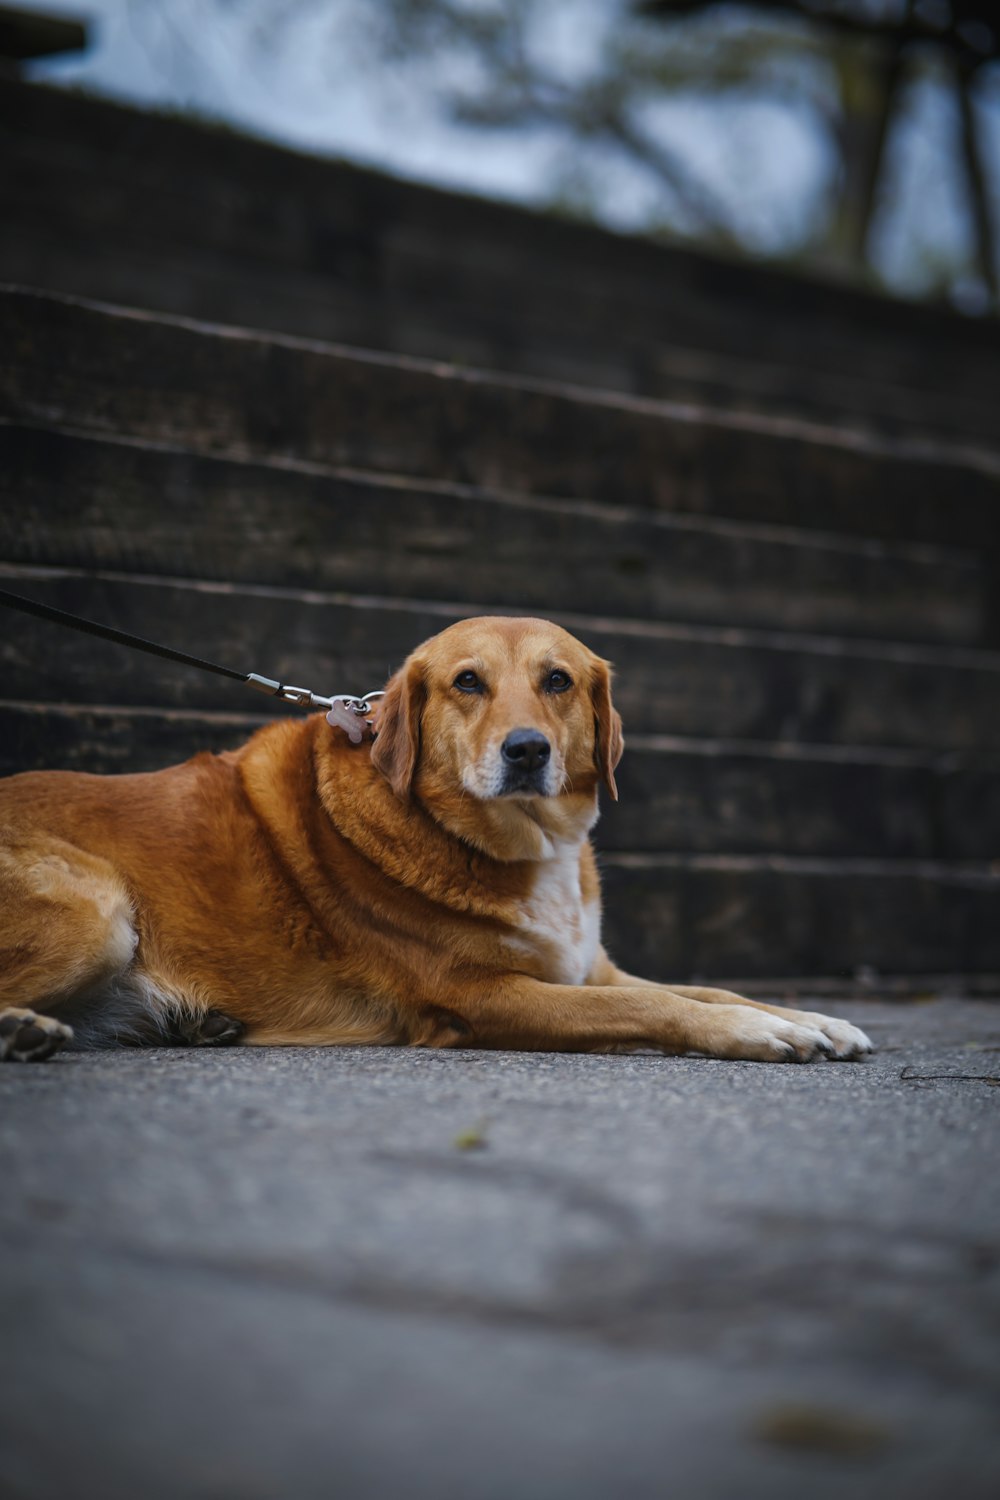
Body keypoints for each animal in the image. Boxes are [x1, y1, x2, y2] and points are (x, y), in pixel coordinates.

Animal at [0, 615, 869, 1062]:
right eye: (467, 683)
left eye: (558, 681)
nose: (527, 751)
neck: (523, 847)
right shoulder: (479, 998)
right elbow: (659, 1007)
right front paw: (757, 1031)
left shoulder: (586, 967)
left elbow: (703, 989)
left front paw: (808, 1017)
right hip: (99, 909)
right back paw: (22, 1030)